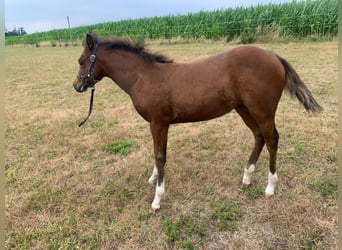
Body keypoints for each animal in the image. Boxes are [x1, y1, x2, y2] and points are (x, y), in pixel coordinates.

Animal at [72, 32, 320, 210]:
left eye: (81, 61)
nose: (77, 85)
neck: (144, 77)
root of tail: (274, 56)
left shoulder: (158, 123)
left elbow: (160, 156)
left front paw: (157, 199)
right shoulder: (159, 124)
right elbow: (158, 153)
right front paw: (153, 178)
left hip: (263, 111)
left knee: (272, 139)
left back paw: (270, 186)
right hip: (244, 109)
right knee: (259, 137)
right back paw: (247, 176)